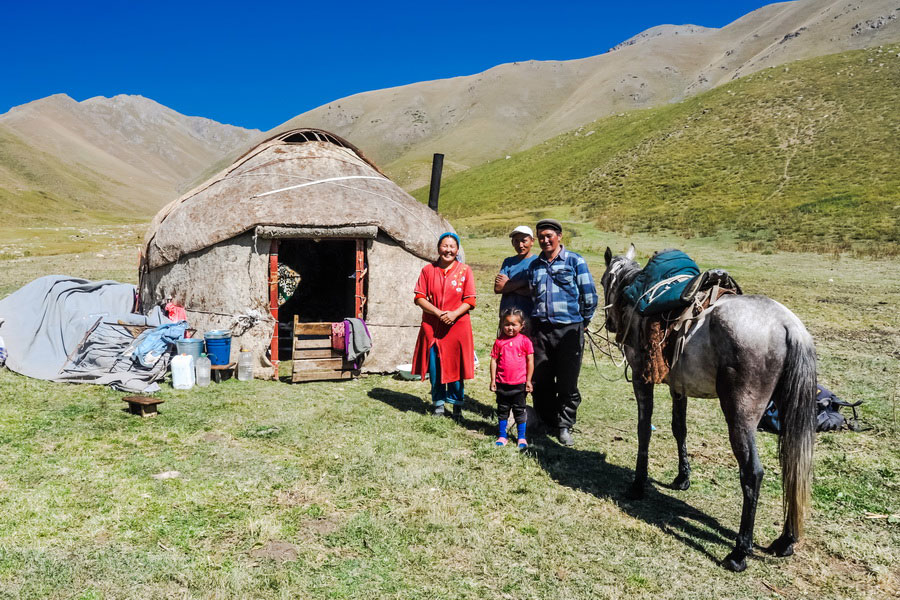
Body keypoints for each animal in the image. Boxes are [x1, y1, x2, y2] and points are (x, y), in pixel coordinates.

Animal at [600, 247, 820, 572]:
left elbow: (644, 429)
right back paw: (785, 540)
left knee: (752, 473)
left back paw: (739, 552)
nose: (611, 325)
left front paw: (638, 484)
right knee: (792, 466)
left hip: (740, 415)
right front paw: (683, 478)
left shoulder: (642, 378)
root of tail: (788, 326)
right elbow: (679, 429)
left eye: (605, 281)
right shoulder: (678, 386)